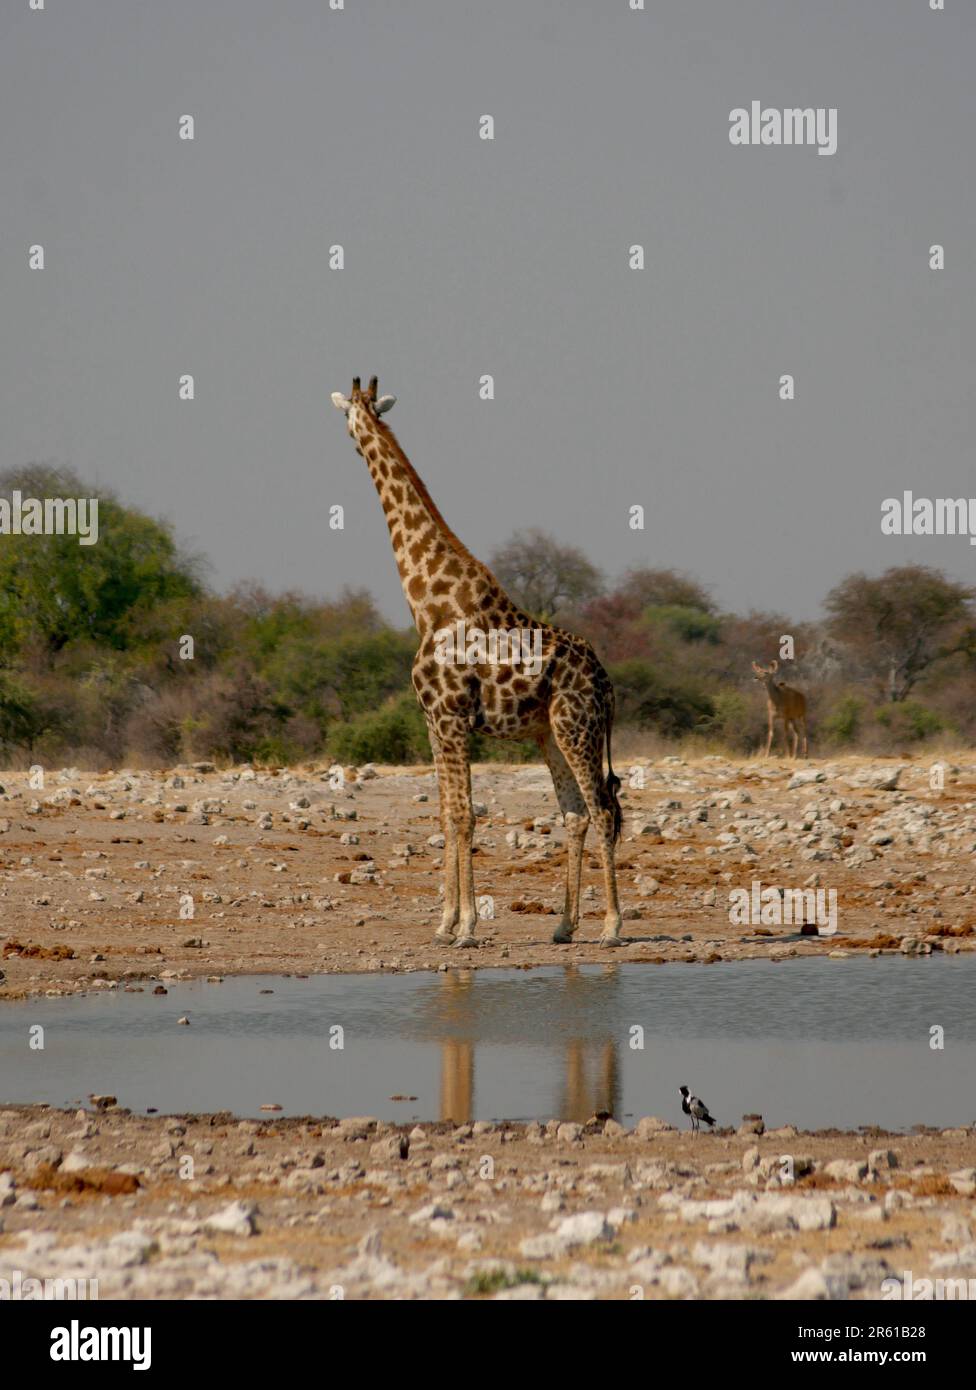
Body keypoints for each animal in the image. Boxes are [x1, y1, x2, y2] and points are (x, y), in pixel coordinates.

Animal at [330, 375, 628, 950]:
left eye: (346, 419)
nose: (353, 444)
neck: (428, 603)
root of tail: (607, 685)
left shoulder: (451, 719)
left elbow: (465, 816)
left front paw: (466, 926)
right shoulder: (433, 721)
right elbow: (447, 814)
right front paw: (444, 923)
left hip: (576, 727)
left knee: (602, 810)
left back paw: (610, 926)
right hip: (550, 733)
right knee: (575, 812)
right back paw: (563, 926)